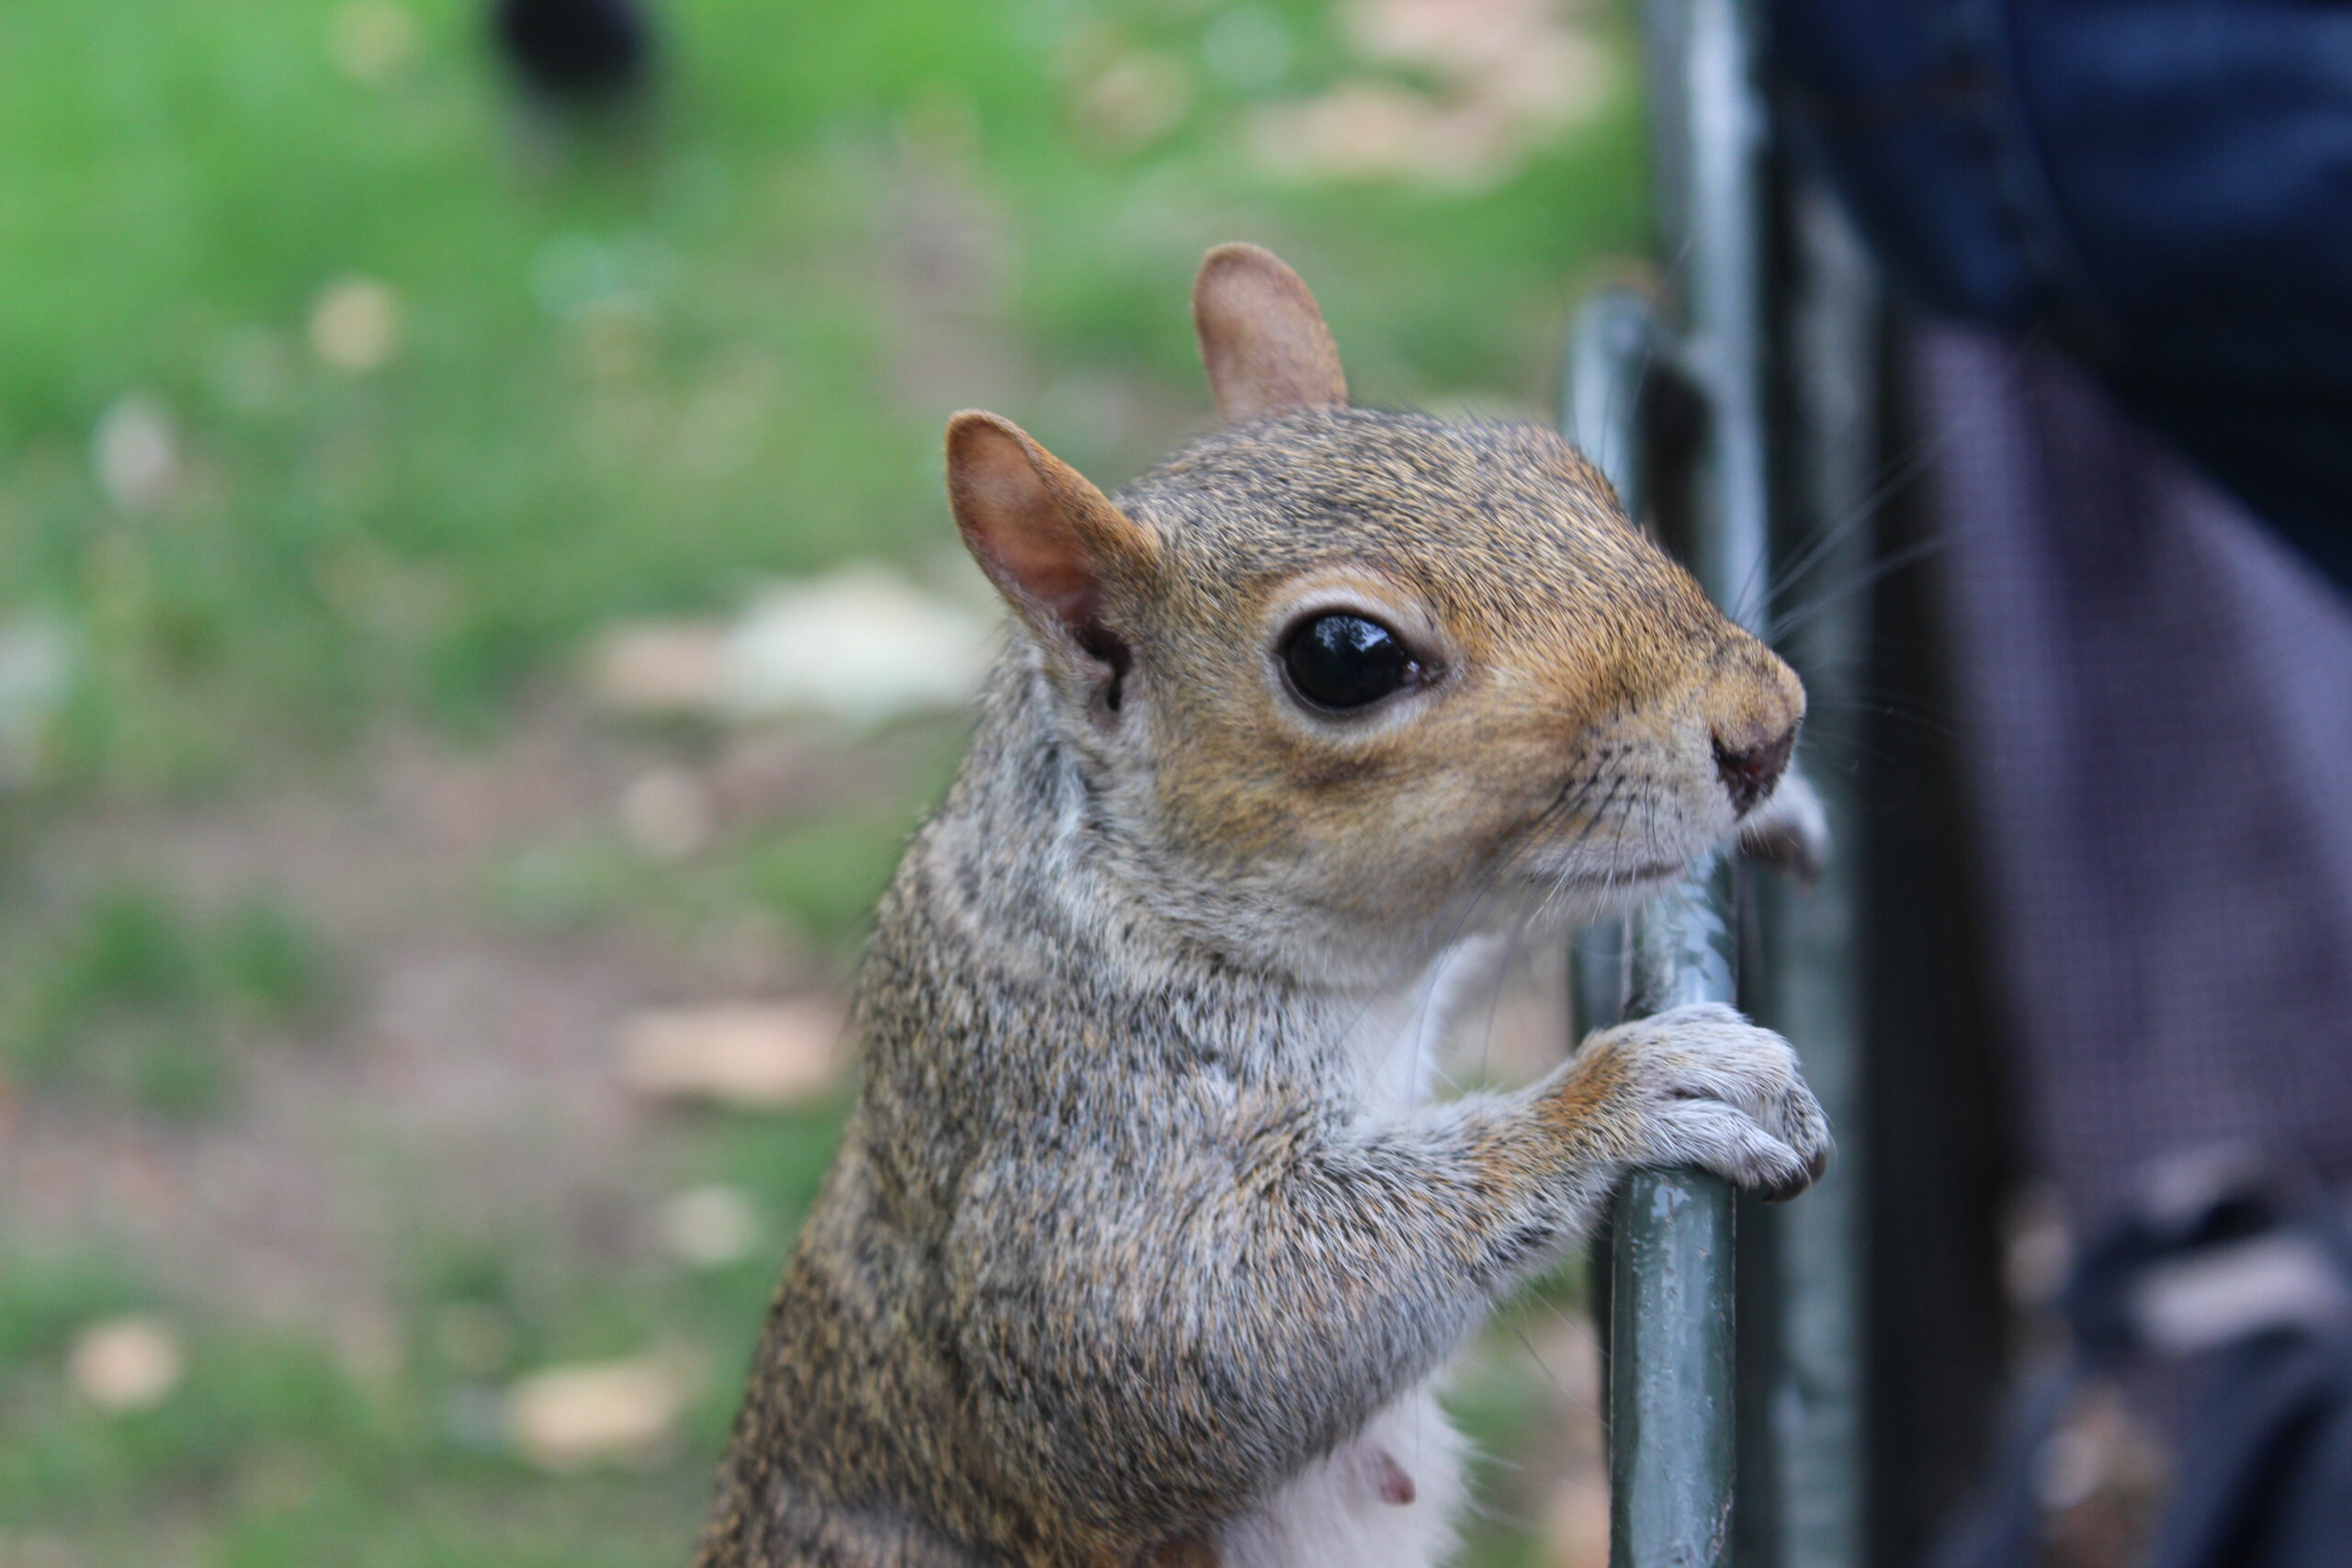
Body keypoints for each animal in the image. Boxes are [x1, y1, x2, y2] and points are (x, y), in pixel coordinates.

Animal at [695, 245, 1834, 1568]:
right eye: (1344, 656)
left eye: (1561, 463)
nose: (1767, 727)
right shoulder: (1075, 1150)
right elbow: (1202, 1338)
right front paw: (1636, 1093)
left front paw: (1784, 809)